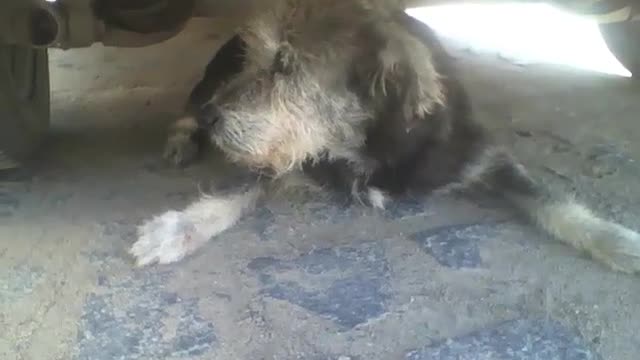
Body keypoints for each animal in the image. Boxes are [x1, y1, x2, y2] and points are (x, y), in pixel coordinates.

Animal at [129, 0, 640, 272]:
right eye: (259, 60)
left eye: (286, 66)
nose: (216, 117)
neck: (369, 147)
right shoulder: (293, 155)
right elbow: (238, 187)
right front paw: (179, 227)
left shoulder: (479, 154)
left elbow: (552, 199)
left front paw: (616, 241)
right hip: (211, 78)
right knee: (185, 109)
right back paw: (182, 140)